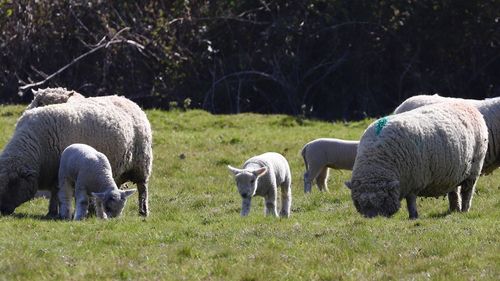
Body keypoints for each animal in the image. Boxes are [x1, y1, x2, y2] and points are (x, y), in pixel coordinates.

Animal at [0, 94, 152, 217]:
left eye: (13, 184)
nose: (3, 211)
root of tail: (127, 100)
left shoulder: (59, 171)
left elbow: (57, 193)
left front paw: (54, 212)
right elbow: (55, 193)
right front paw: (52, 212)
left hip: (141, 163)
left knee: (142, 188)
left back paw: (143, 211)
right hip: (119, 166)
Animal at [346, 102, 486, 219]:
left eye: (383, 200)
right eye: (358, 202)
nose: (373, 219)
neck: (375, 161)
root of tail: (466, 105)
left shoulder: (413, 181)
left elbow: (411, 202)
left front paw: (413, 216)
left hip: (474, 168)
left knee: (467, 192)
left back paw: (464, 210)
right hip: (454, 172)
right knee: (454, 191)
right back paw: (454, 209)